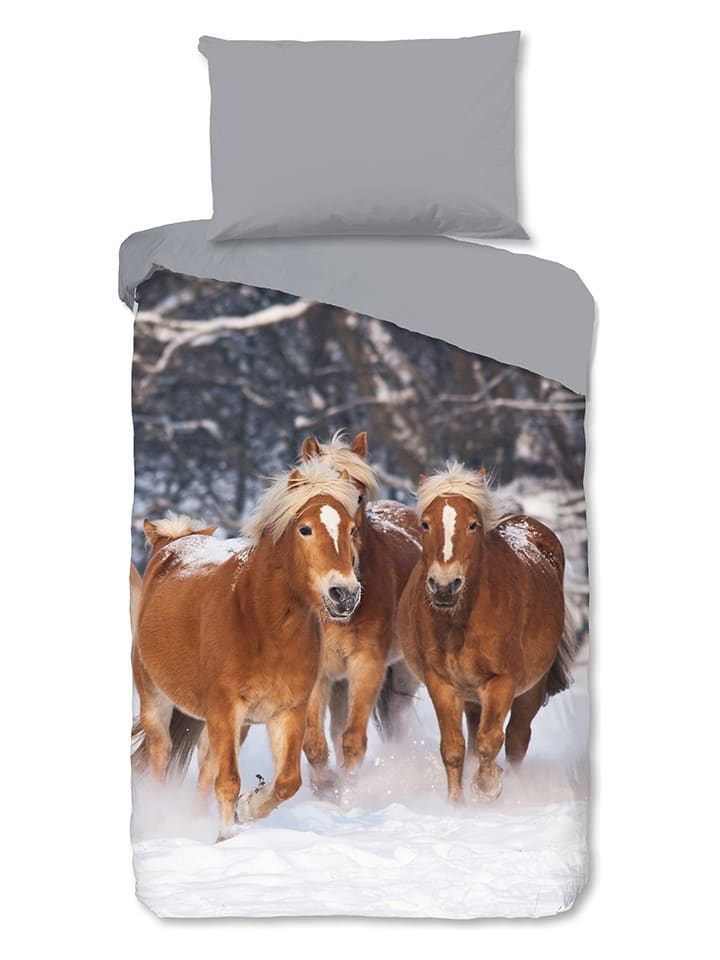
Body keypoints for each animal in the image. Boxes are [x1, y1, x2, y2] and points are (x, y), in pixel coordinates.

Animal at [132, 462, 362, 840]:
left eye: (352, 529)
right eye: (305, 529)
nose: (345, 594)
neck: (261, 624)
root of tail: (172, 543)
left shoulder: (286, 711)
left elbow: (287, 782)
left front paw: (248, 808)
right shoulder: (226, 708)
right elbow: (227, 781)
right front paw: (227, 836)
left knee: (205, 765)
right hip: (156, 698)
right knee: (160, 754)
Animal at [298, 431, 421, 791]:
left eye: (359, 496)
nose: (344, 592)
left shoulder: (367, 666)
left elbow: (353, 741)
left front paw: (350, 790)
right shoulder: (320, 674)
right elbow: (315, 743)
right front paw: (326, 787)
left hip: (404, 674)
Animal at [398, 463, 575, 804]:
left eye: (473, 525)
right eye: (425, 524)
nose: (444, 585)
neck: (461, 622)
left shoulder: (502, 682)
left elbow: (490, 741)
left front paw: (487, 787)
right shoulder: (441, 682)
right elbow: (453, 748)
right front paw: (457, 804)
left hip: (531, 689)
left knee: (517, 738)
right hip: (471, 695)